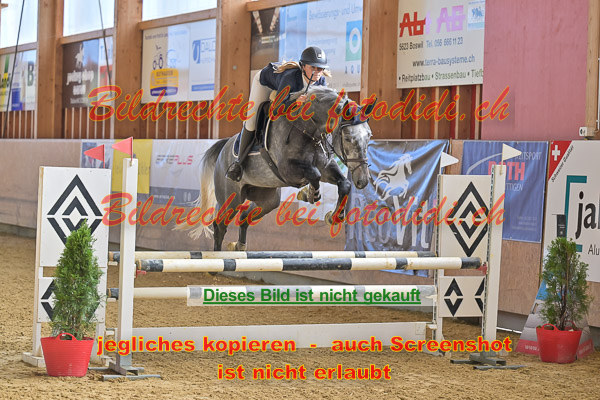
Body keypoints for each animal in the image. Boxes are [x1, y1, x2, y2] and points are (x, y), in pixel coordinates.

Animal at [190, 85, 373, 251]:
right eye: (348, 138)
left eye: (369, 136)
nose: (362, 180)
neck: (307, 130)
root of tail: (224, 147)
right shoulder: (289, 170)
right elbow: (314, 174)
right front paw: (310, 194)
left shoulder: (326, 167)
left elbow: (344, 184)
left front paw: (335, 217)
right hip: (231, 199)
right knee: (220, 225)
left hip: (267, 199)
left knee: (244, 216)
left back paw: (239, 246)